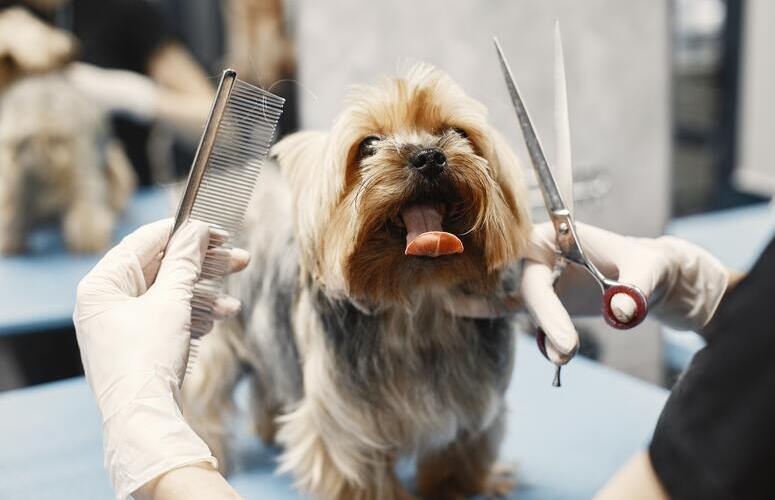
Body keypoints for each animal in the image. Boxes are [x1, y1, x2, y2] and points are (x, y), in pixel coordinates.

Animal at [183, 64, 532, 498]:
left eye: (458, 132)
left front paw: (461, 487)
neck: (417, 300)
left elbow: (460, 457)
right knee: (203, 392)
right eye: (368, 145)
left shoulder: (475, 406)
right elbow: (359, 474)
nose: (429, 157)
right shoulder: (345, 423)